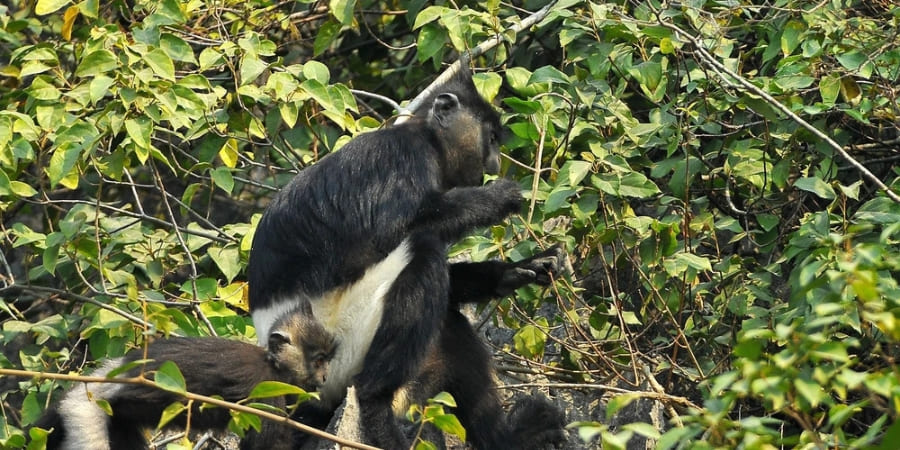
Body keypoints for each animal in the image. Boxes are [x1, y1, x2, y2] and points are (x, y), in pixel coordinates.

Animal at [33, 302, 338, 450]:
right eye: (318, 361)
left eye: (327, 362)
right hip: (83, 413)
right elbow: (268, 445)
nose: (325, 378)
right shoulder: (264, 390)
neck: (272, 364)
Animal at [250, 68, 568, 448]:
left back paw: (509, 438)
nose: (493, 162)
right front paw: (500, 196)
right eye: (490, 138)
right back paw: (375, 405)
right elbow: (389, 231)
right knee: (423, 252)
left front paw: (523, 269)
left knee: (450, 326)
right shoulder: (404, 156)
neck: (428, 137)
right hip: (337, 345)